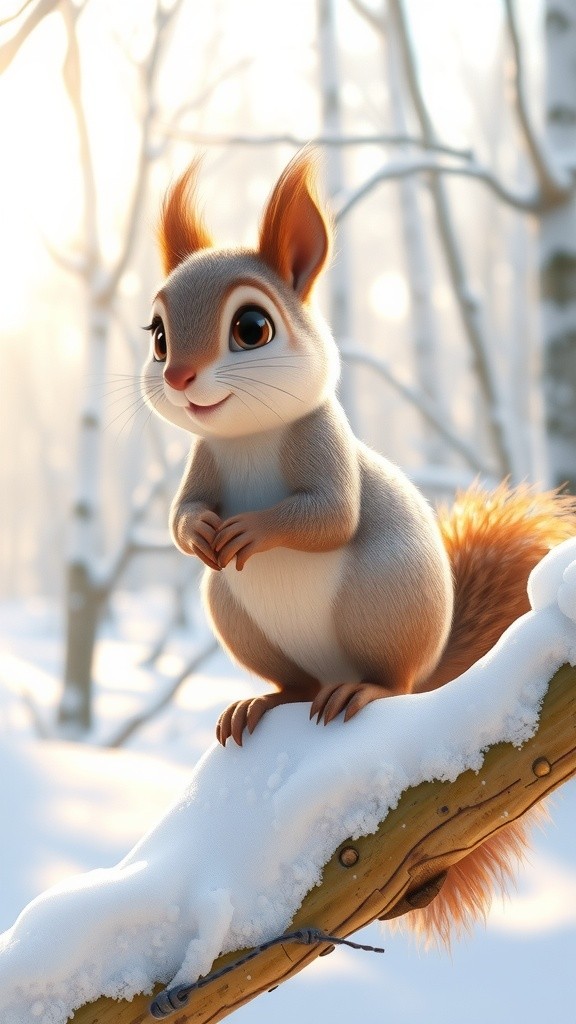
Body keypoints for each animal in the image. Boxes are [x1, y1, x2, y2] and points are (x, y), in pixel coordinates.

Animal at [142, 151, 576, 943]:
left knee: (393, 684)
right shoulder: (201, 463)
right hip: (237, 615)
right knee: (291, 682)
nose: (180, 378)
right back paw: (262, 702)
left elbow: (331, 517)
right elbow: (179, 514)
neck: (246, 436)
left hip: (385, 598)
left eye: (252, 326)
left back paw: (359, 691)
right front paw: (200, 534)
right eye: (157, 334)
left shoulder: (324, 445)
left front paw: (252, 530)